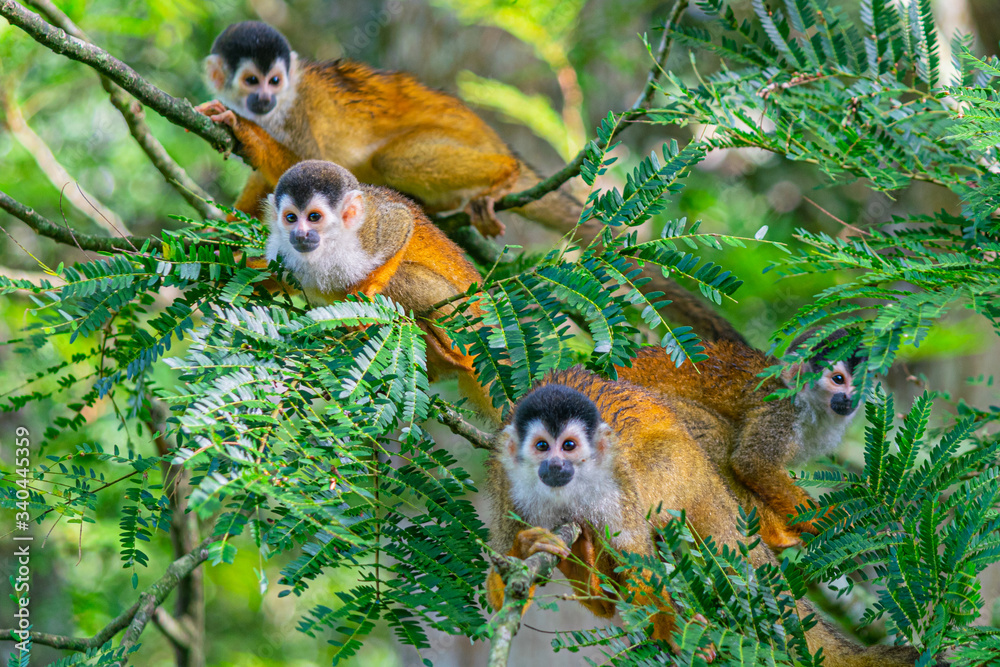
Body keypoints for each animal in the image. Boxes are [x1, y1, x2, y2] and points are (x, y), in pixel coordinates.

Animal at [197, 21, 581, 237]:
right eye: (252, 81)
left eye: (274, 81)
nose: (265, 98)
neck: (280, 107)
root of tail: (493, 138)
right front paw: (226, 228)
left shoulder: (299, 113)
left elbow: (313, 171)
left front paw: (243, 129)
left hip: (463, 136)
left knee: (391, 161)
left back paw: (505, 173)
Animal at [264, 160, 499, 423]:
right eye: (291, 218)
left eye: (314, 217)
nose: (300, 234)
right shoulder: (283, 255)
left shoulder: (370, 232)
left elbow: (402, 222)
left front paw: (367, 291)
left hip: (467, 322)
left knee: (401, 277)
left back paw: (458, 358)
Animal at [485, 368, 932, 666]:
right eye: (542, 446)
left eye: (569, 446)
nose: (556, 466)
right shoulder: (511, 492)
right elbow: (501, 595)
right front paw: (526, 546)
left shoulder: (612, 488)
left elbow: (638, 559)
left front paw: (672, 628)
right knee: (606, 600)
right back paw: (587, 562)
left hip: (682, 469)